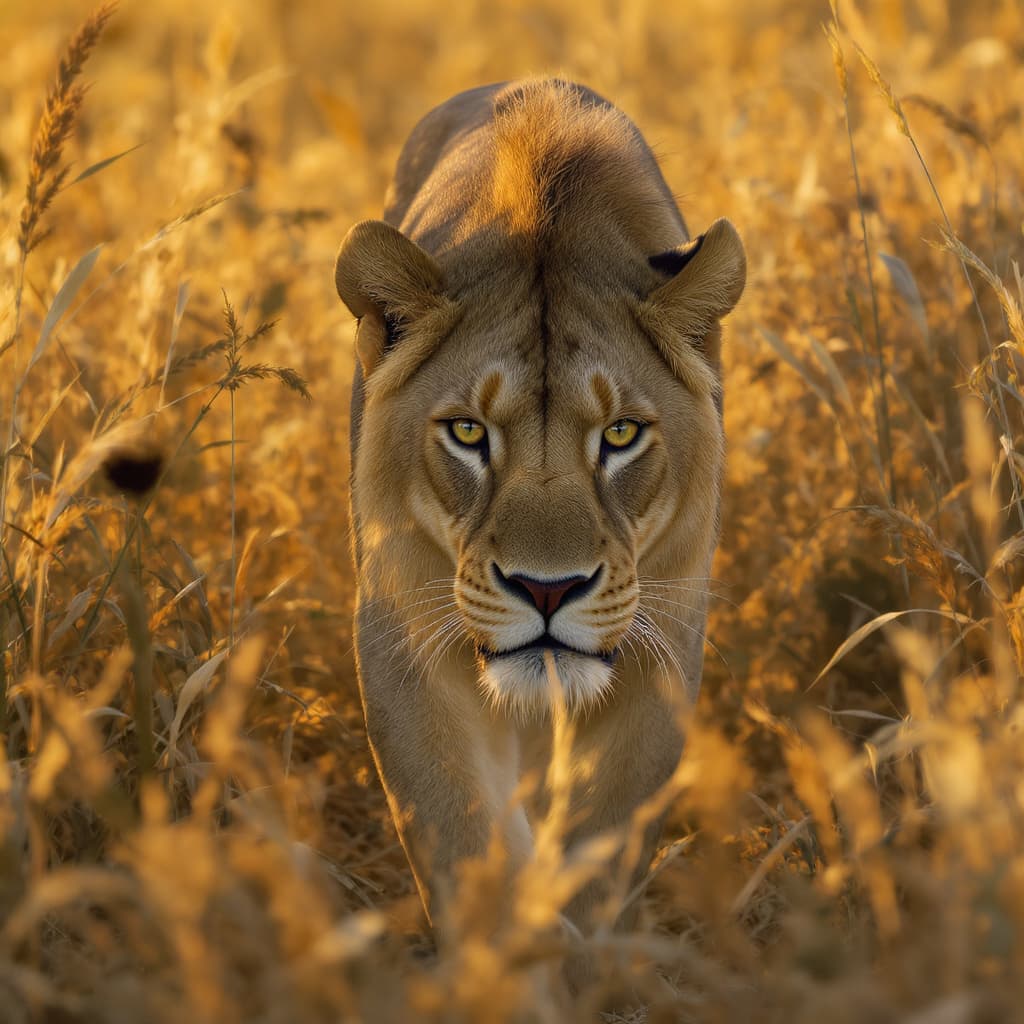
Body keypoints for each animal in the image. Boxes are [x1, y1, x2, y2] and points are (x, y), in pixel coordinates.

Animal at [334, 79, 745, 949]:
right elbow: (460, 838)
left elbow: (600, 846)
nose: (547, 590)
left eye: (621, 434)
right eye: (467, 432)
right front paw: (505, 955)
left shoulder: (663, 636)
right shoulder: (404, 629)